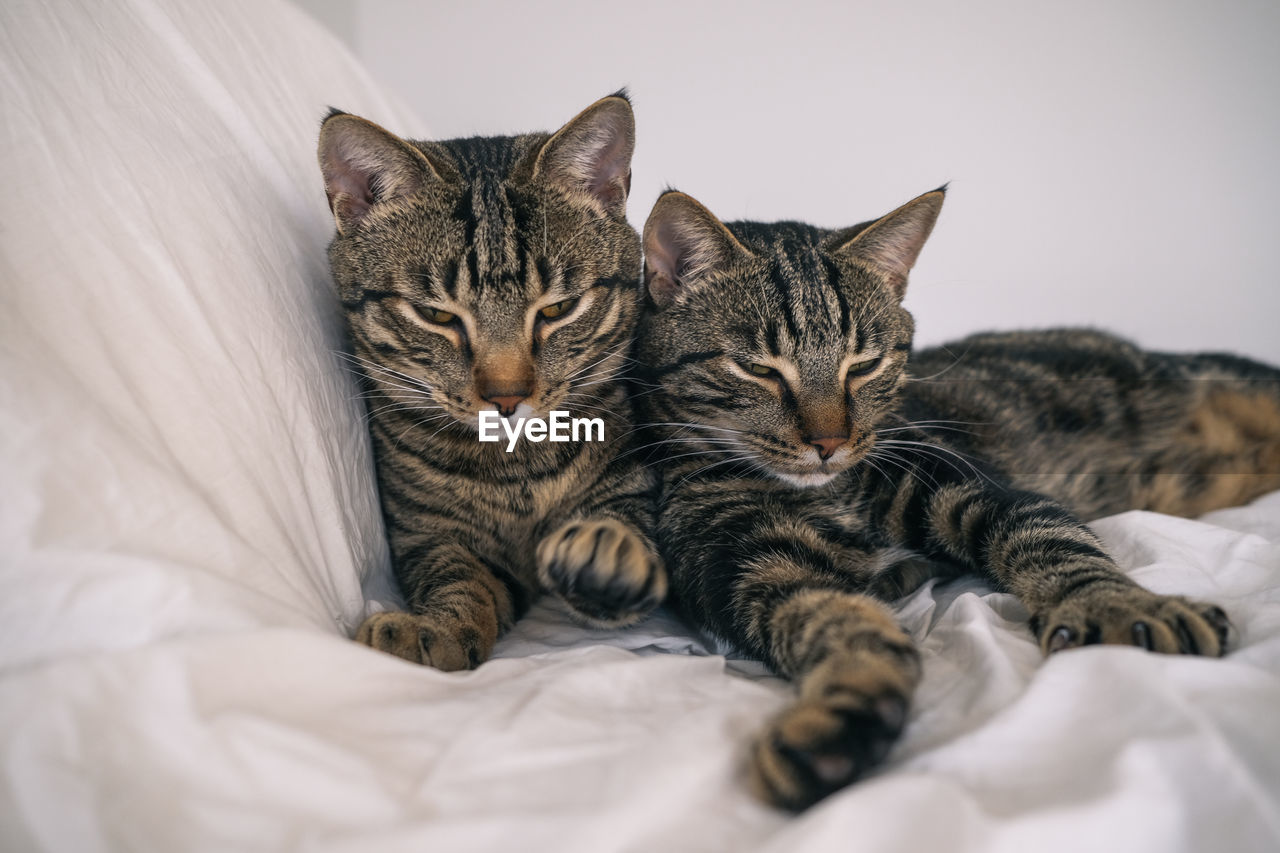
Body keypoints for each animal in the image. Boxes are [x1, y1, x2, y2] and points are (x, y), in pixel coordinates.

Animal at [316, 91, 665, 666]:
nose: (507, 397)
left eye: (559, 309)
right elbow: (459, 580)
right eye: (436, 315)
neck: (516, 470)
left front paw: (608, 556)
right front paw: (431, 632)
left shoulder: (637, 485)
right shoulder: (428, 534)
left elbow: (627, 526)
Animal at [637, 184, 1280, 804]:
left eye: (864, 365)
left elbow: (1055, 546)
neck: (827, 495)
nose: (830, 441)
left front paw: (1121, 607)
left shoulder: (975, 488)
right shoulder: (753, 567)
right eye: (759, 370)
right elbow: (839, 623)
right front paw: (841, 718)